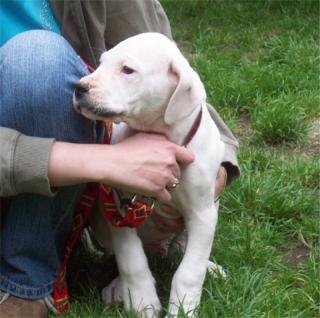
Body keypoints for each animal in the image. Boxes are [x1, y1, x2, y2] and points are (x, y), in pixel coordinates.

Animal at [75, 33, 225, 316]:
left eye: (127, 70)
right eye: (100, 63)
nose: (78, 88)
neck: (162, 136)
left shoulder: (203, 212)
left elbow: (190, 270)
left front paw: (182, 308)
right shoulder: (118, 210)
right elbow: (131, 260)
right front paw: (142, 300)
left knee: (182, 248)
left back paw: (210, 267)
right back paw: (117, 288)